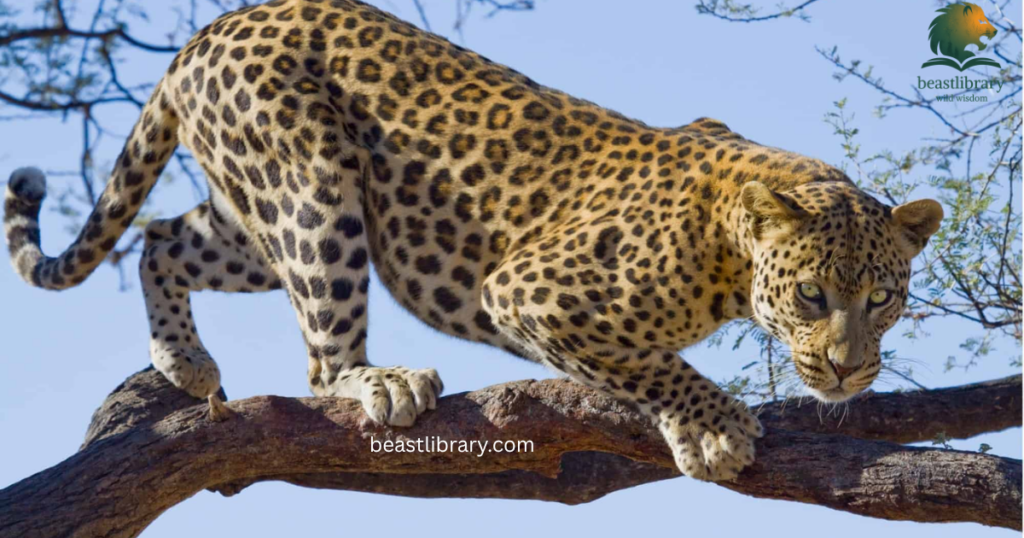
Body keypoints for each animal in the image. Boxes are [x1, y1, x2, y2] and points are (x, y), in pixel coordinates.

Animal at [3, 0, 943, 481]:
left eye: (883, 297)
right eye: (811, 294)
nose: (847, 372)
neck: (729, 250)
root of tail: (207, 30)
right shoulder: (531, 290)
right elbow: (652, 362)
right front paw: (710, 429)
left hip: (255, 212)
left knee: (161, 237)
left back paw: (185, 363)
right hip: (314, 188)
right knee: (320, 361)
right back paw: (379, 381)